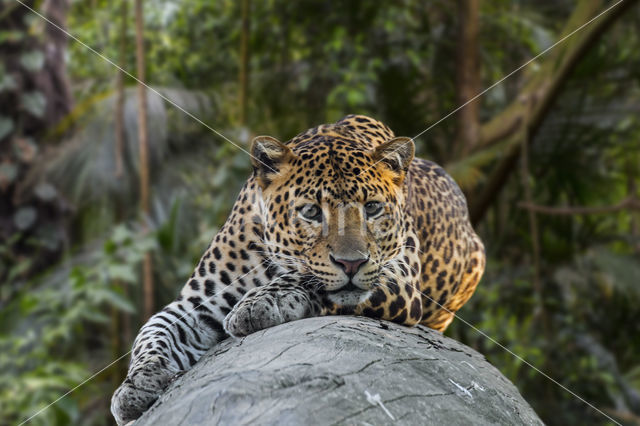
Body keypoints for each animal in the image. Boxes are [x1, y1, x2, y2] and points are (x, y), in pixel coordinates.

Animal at [110, 115, 482, 424]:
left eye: (373, 208)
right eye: (311, 212)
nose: (352, 262)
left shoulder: (397, 276)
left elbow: (310, 279)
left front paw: (258, 304)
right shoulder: (196, 303)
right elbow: (152, 333)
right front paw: (135, 386)